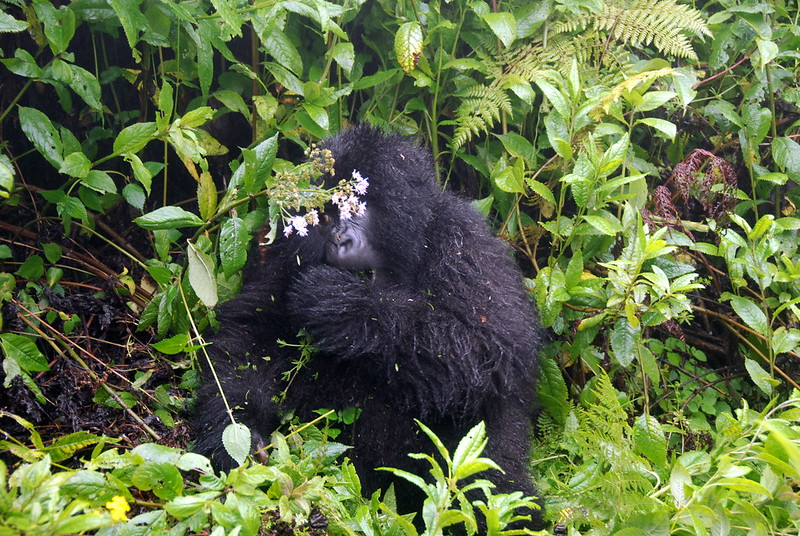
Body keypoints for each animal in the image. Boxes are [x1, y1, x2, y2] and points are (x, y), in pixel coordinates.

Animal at [194, 123, 544, 528]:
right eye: (326, 214)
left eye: (357, 206)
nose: (340, 240)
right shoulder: (281, 256)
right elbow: (251, 336)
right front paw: (236, 432)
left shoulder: (464, 243)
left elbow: (485, 348)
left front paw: (340, 304)